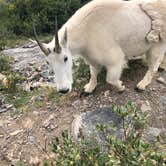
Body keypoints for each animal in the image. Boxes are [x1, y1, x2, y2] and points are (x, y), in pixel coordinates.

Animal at [32, 0, 166, 93]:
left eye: (65, 58)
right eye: (48, 62)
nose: (63, 90)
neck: (85, 31)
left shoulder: (114, 59)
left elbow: (110, 79)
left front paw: (121, 86)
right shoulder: (92, 58)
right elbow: (93, 73)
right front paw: (89, 88)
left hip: (157, 43)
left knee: (153, 65)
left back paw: (142, 84)